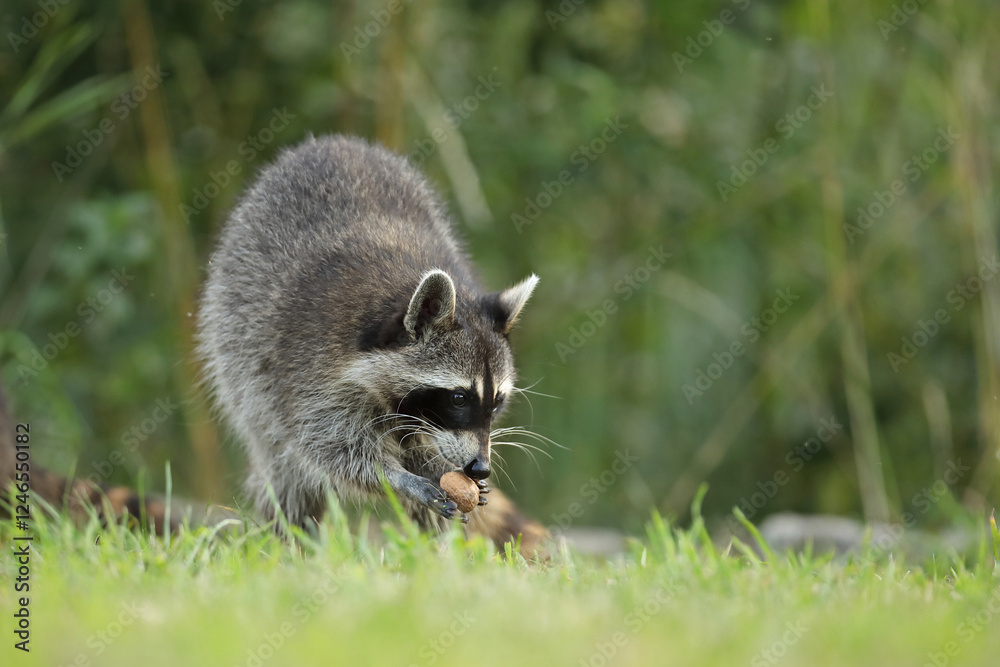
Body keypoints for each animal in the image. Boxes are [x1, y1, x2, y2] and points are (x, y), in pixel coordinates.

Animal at [196, 134, 546, 548]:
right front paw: (401, 479)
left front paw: (435, 472)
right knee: (286, 469)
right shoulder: (306, 363)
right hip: (238, 342)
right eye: (459, 398)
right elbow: (330, 447)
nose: (479, 468)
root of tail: (332, 142)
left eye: (498, 400)